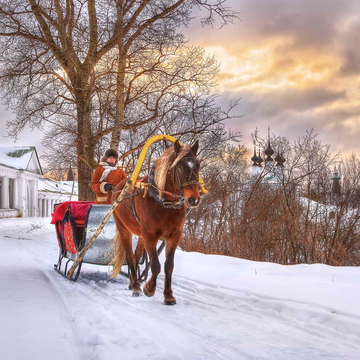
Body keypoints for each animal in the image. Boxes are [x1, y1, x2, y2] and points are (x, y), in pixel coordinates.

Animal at [111, 140, 201, 304]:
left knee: (137, 255)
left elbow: (168, 266)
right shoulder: (150, 236)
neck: (166, 204)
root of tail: (119, 188)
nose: (194, 199)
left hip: (140, 234)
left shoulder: (174, 236)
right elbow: (155, 265)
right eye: (180, 167)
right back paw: (136, 286)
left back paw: (133, 282)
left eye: (198, 165)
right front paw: (149, 288)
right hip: (123, 228)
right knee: (130, 256)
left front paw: (169, 295)